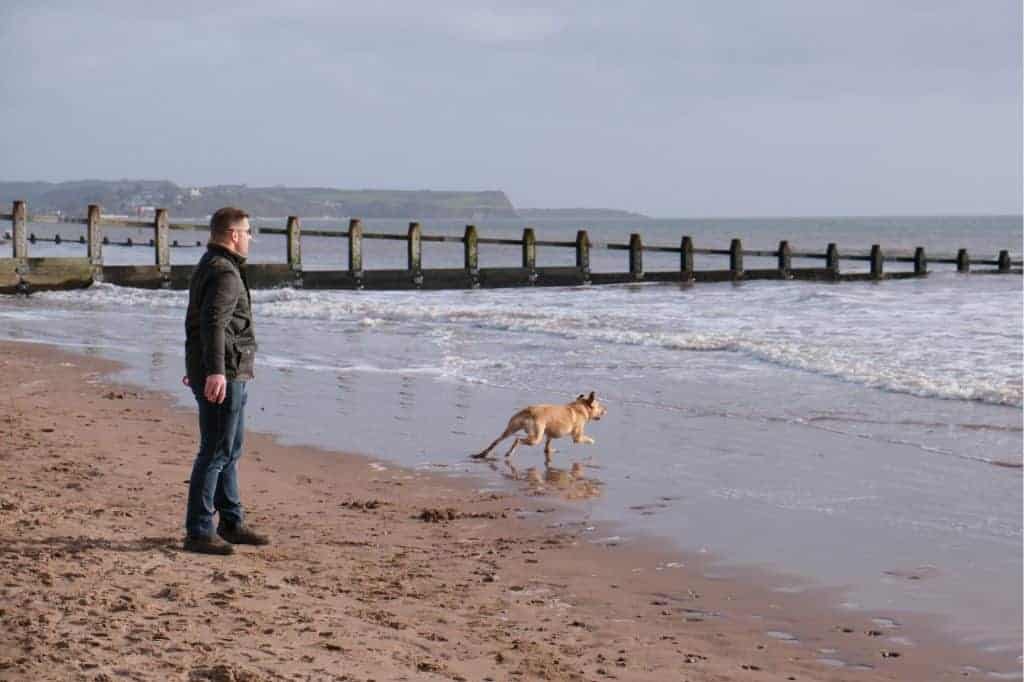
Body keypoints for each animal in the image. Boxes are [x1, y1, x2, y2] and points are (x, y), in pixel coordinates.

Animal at [473, 391, 606, 464]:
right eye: (600, 406)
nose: (606, 410)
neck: (581, 407)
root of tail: (529, 411)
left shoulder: (549, 434)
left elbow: (548, 444)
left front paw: (549, 451)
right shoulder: (577, 437)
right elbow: (585, 439)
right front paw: (592, 441)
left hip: (510, 429)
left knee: (496, 441)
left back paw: (483, 454)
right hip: (536, 438)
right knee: (518, 440)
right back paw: (509, 453)